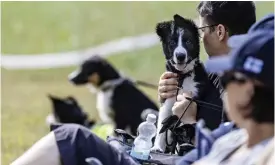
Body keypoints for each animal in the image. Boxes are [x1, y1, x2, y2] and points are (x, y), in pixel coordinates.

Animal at [152, 14, 210, 152]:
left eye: (188, 42)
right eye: (172, 43)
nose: (180, 56)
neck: (182, 77)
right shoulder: (167, 102)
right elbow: (161, 128)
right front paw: (157, 148)